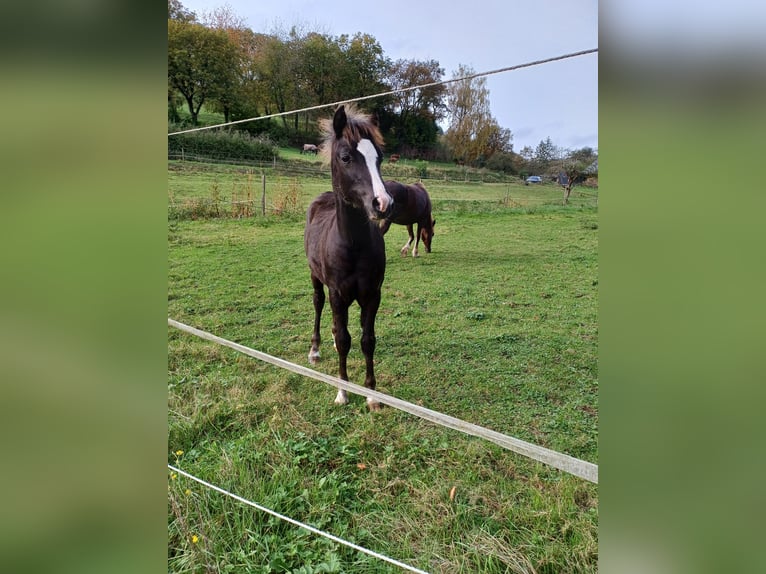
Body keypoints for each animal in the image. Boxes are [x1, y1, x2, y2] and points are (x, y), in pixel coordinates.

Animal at [304, 106, 392, 412]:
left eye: (380, 157)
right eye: (345, 157)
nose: (383, 203)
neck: (352, 246)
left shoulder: (372, 294)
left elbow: (367, 340)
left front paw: (371, 395)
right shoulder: (338, 294)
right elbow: (345, 340)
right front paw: (342, 391)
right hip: (316, 278)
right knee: (318, 304)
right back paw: (315, 349)